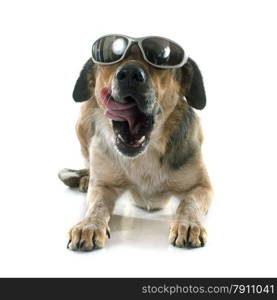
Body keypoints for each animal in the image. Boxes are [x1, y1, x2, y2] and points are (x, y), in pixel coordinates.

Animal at [58, 34, 211, 251]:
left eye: (160, 58)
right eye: (110, 57)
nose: (130, 73)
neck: (145, 154)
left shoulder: (202, 186)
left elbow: (188, 203)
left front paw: (188, 224)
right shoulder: (104, 185)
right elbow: (97, 204)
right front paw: (89, 224)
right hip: (82, 121)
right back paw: (86, 178)